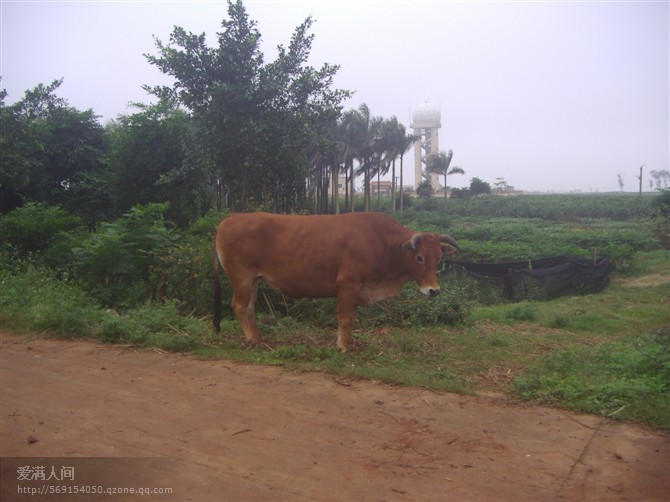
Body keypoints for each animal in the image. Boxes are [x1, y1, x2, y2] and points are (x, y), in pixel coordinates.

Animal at [213, 211, 460, 350]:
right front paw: (342, 345)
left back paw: (257, 336)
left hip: (253, 280)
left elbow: (351, 318)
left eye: (439, 259)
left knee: (249, 307)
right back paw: (252, 339)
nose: (434, 291)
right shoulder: (347, 285)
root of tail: (229, 219)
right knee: (240, 306)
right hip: (242, 278)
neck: (381, 242)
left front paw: (349, 343)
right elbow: (345, 319)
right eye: (419, 258)